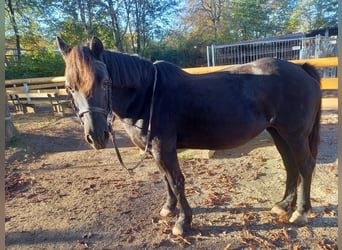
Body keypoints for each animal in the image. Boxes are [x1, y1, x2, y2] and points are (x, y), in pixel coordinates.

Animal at [56, 36, 320, 235]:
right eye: (69, 87)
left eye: (104, 82)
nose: (96, 135)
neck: (148, 95)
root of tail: (301, 68)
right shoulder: (155, 151)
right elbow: (165, 179)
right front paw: (168, 208)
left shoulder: (164, 148)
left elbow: (176, 181)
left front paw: (183, 222)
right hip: (278, 133)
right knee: (291, 166)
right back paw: (283, 205)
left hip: (295, 134)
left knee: (305, 165)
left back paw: (300, 212)